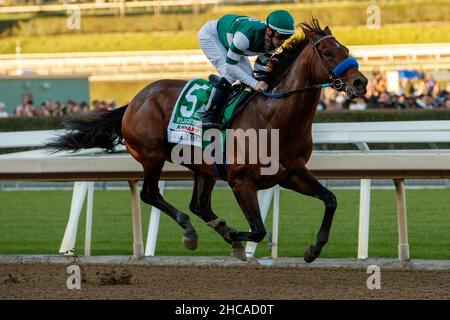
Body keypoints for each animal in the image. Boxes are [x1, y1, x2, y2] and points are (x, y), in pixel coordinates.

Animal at [48, 20, 366, 262]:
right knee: (151, 194)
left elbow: (331, 199)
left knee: (199, 205)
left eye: (346, 49)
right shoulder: (241, 182)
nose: (361, 82)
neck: (274, 116)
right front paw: (236, 236)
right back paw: (192, 232)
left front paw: (314, 248)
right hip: (152, 155)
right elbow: (258, 229)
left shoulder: (291, 174)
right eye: (328, 52)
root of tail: (134, 100)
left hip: (204, 167)